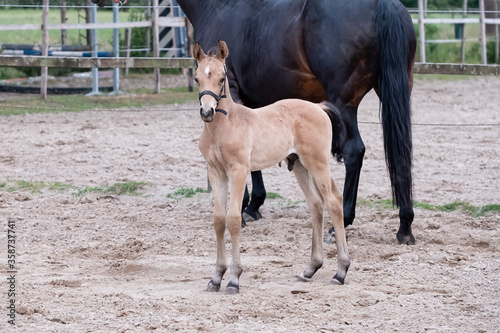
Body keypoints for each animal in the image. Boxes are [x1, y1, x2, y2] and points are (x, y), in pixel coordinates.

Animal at [184, 0, 418, 244]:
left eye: (219, 78)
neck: (219, 7)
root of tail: (383, 4)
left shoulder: (233, 91)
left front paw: (243, 207)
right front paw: (254, 204)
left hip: (344, 102)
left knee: (354, 151)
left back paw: (343, 220)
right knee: (402, 152)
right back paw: (405, 225)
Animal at [193, 39, 350, 294]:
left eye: (222, 78)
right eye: (197, 78)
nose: (207, 112)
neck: (225, 125)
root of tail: (318, 107)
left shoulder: (239, 171)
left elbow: (233, 219)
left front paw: (234, 279)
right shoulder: (216, 173)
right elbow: (218, 220)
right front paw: (216, 278)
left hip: (317, 163)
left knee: (334, 202)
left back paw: (341, 272)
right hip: (300, 167)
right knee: (316, 205)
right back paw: (310, 269)